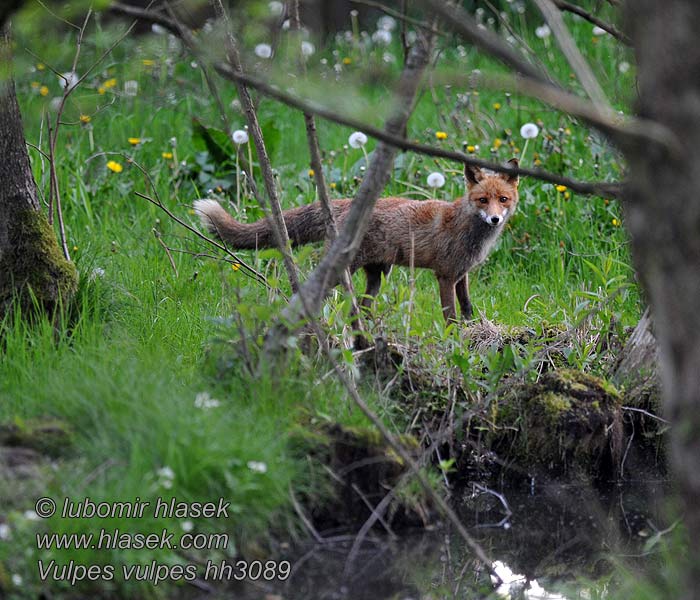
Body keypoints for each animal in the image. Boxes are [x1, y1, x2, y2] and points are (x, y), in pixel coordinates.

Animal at [194, 157, 516, 322]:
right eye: (483, 200)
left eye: (503, 199)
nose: (495, 219)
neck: (468, 229)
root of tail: (345, 204)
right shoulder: (445, 275)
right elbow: (450, 316)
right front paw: (454, 339)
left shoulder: (462, 275)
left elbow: (467, 307)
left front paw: (472, 329)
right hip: (343, 273)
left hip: (377, 277)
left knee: (356, 310)